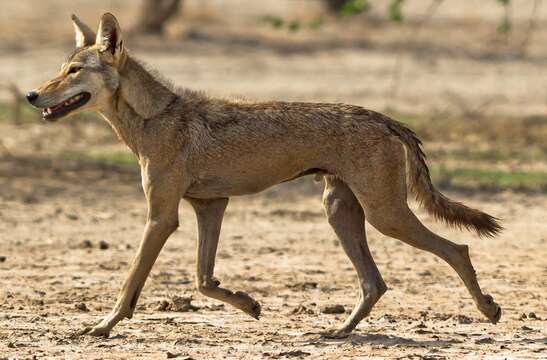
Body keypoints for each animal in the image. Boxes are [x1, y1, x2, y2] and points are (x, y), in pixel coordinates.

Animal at [27, 13, 504, 338]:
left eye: (73, 71)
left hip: (384, 215)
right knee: (375, 282)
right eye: (61, 68)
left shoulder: (162, 217)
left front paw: (103, 326)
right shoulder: (210, 207)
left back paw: (488, 310)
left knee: (456, 249)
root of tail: (385, 118)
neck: (154, 117)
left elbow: (131, 282)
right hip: (341, 212)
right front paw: (250, 304)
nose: (32, 94)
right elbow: (203, 281)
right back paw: (339, 332)